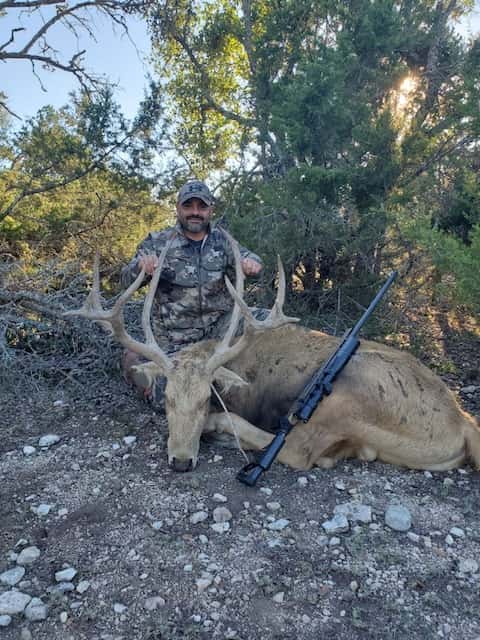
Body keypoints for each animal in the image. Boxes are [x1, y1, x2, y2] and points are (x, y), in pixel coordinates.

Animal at [66, 231, 480, 474]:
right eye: (166, 399)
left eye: (204, 398)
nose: (181, 461)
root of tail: (463, 424)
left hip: (349, 394)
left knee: (299, 450)